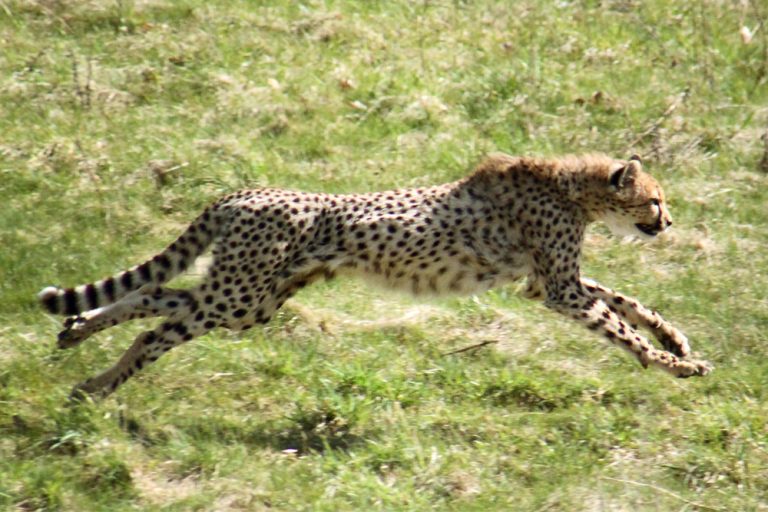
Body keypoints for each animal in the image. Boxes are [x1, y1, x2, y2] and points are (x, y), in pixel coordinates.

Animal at [38, 153, 712, 399]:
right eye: (654, 200)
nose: (669, 220)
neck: (573, 187)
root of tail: (246, 191)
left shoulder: (544, 283)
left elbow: (626, 300)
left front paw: (676, 340)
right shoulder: (559, 288)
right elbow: (616, 325)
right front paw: (671, 364)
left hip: (254, 299)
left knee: (156, 294)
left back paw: (78, 334)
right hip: (241, 296)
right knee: (156, 327)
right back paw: (99, 383)